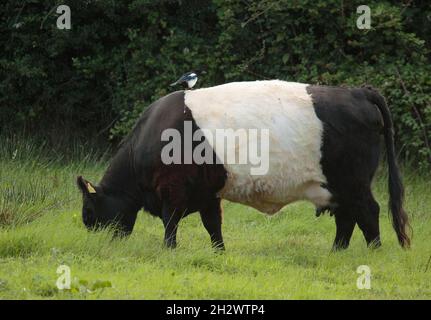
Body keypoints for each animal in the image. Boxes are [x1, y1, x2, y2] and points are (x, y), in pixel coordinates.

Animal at [77, 80, 412, 250]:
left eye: (88, 211)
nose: (96, 238)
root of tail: (358, 91)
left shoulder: (172, 189)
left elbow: (170, 223)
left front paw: (169, 250)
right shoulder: (207, 192)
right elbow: (213, 225)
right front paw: (219, 253)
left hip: (353, 182)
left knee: (368, 212)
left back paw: (374, 252)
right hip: (337, 188)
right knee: (346, 219)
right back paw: (336, 252)